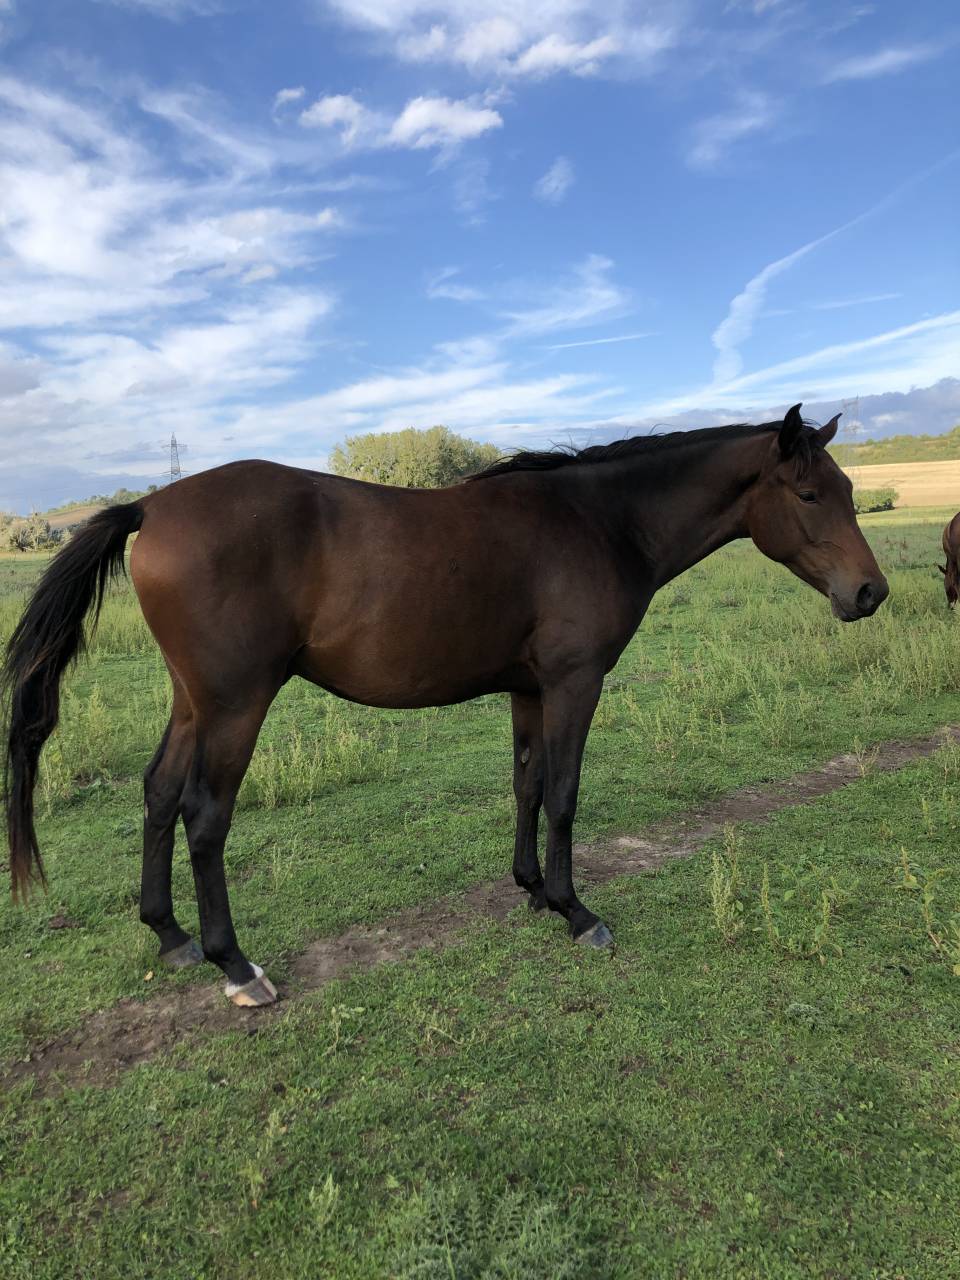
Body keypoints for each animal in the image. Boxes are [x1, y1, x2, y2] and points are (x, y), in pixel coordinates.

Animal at [2, 404, 888, 1007]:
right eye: (810, 493)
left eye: (847, 489)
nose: (869, 593)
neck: (600, 523)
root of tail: (151, 506)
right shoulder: (574, 683)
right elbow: (566, 795)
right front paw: (577, 911)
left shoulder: (530, 689)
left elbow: (529, 785)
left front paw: (533, 889)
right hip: (234, 706)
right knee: (203, 816)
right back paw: (234, 963)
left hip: (193, 702)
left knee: (158, 794)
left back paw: (171, 937)